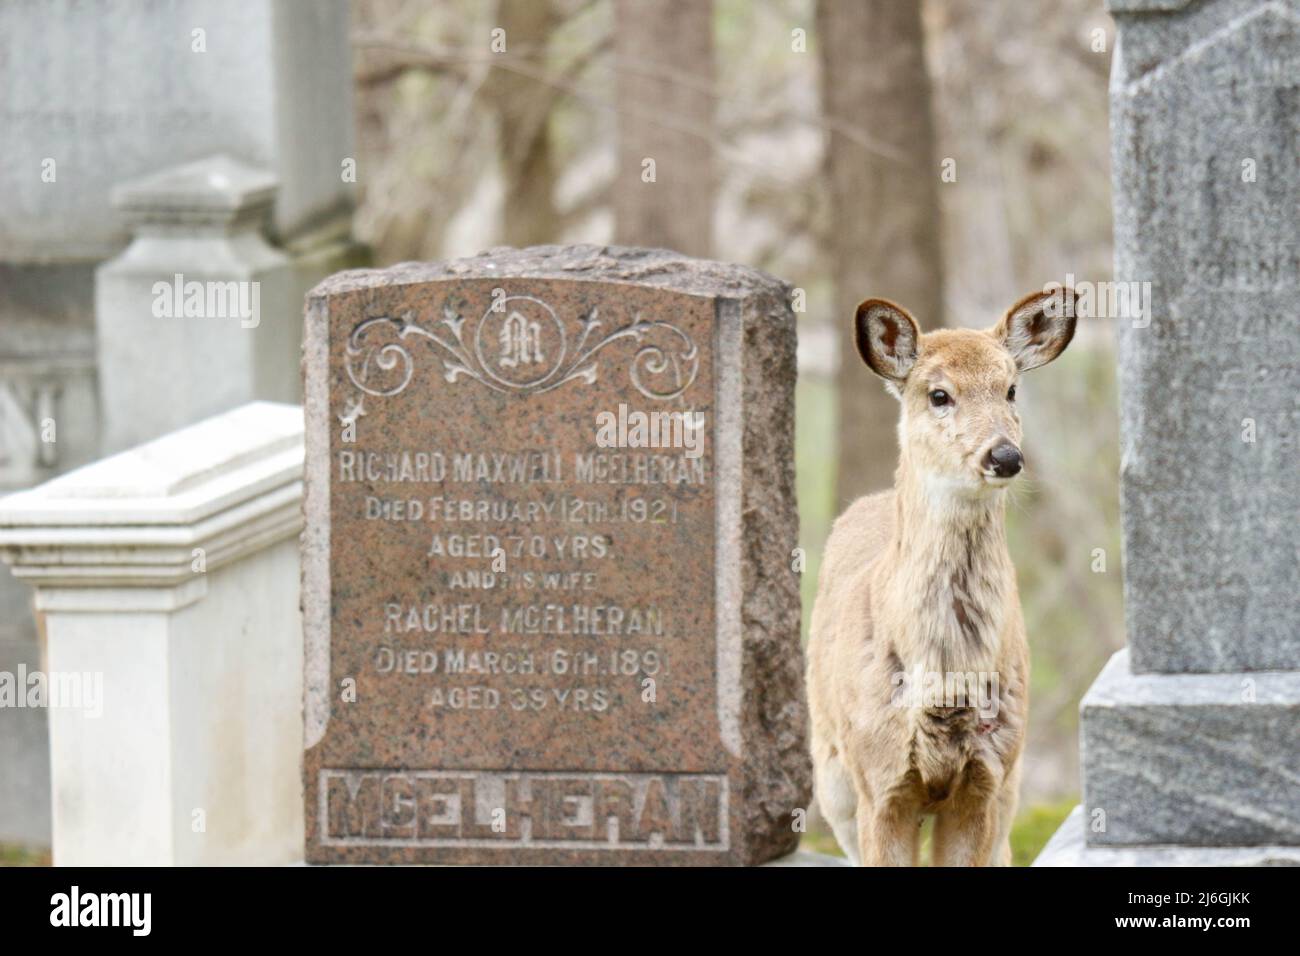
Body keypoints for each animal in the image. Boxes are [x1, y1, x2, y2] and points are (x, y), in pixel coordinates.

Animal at [811, 290, 1076, 868]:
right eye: (939, 394)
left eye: (1011, 388)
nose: (1005, 455)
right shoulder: (879, 782)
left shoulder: (986, 781)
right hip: (832, 776)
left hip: (1012, 787)